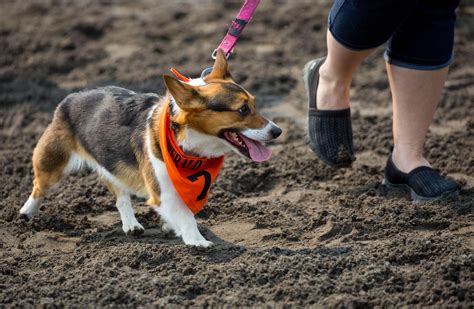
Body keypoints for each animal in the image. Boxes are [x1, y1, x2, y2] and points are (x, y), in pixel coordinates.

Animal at [19, 51, 282, 248]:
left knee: (121, 196)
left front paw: (172, 226)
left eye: (254, 104)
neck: (185, 141)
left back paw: (131, 225)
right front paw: (197, 240)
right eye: (242, 110)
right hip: (51, 163)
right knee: (39, 186)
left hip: (112, 165)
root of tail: (71, 97)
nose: (277, 131)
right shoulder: (161, 188)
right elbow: (186, 214)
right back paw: (26, 212)